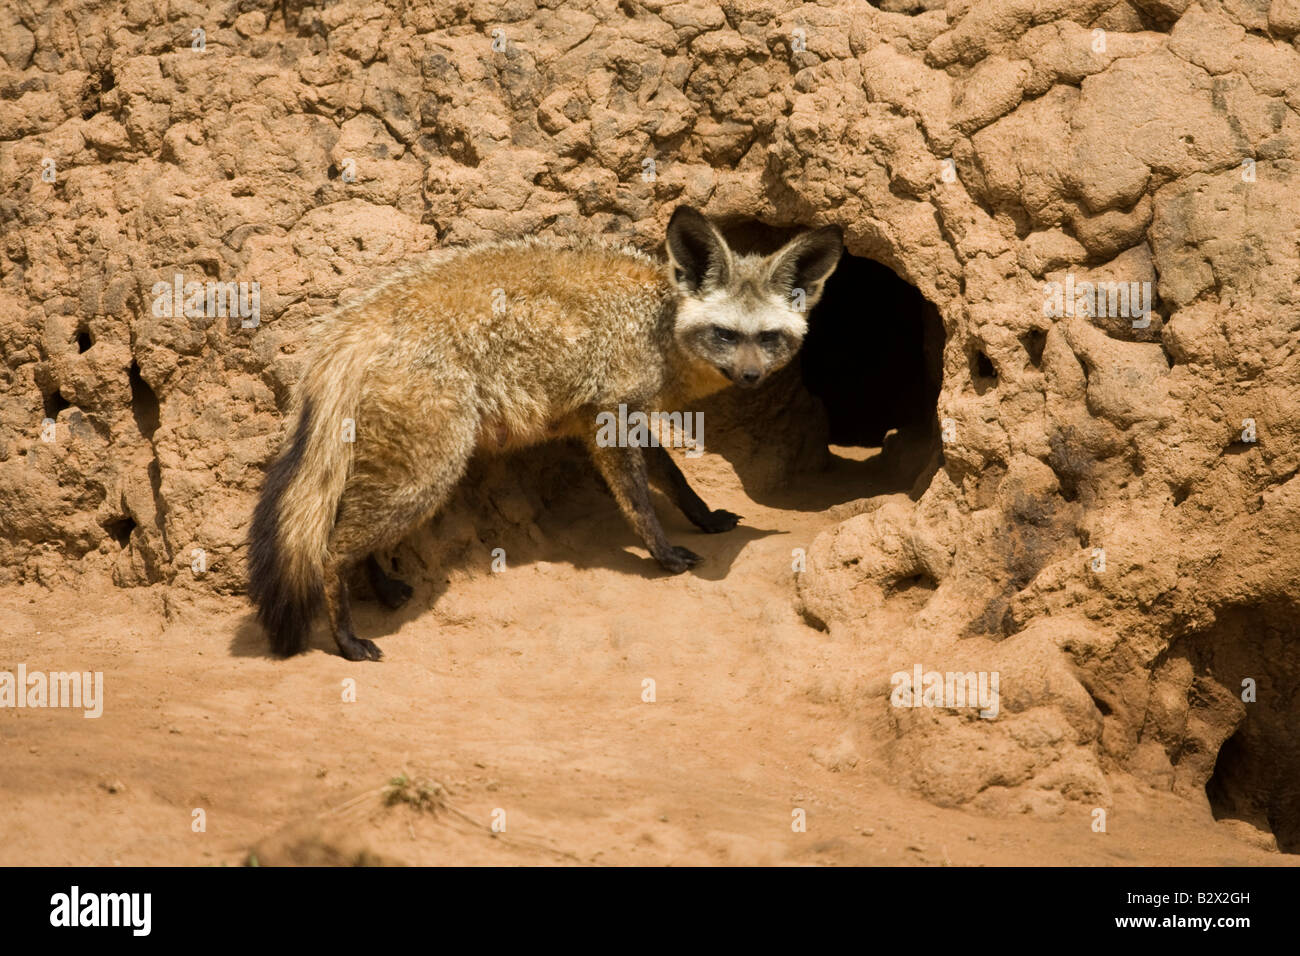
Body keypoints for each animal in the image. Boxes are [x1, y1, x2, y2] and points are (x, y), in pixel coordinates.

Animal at [247, 206, 843, 660]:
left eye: (767, 338)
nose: (750, 377)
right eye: (725, 334)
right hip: (427, 474)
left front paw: (703, 517)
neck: (657, 322)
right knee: (329, 551)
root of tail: (354, 321)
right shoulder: (608, 420)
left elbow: (674, 479)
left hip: (403, 473)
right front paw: (664, 554)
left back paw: (383, 587)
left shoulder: (620, 414)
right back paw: (346, 639)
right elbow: (640, 503)